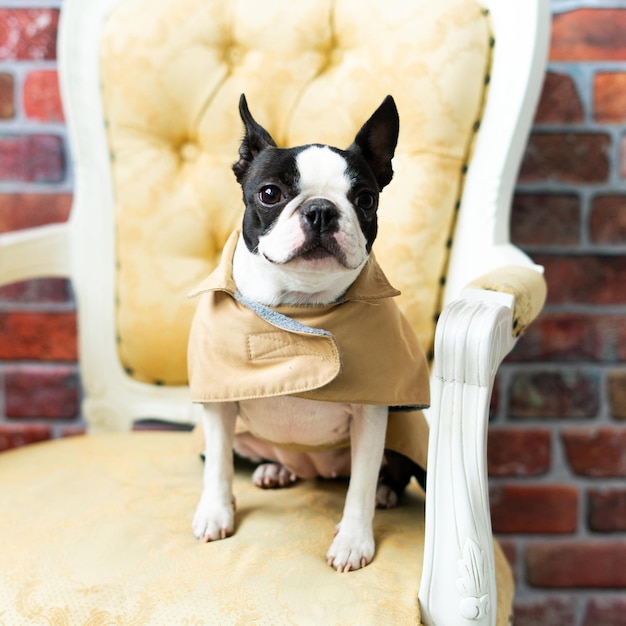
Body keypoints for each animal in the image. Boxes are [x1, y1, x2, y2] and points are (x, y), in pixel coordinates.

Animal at [190, 94, 424, 572]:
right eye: (270, 194)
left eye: (365, 199)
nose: (320, 210)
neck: (299, 306)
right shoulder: (219, 404)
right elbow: (218, 465)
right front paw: (215, 513)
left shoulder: (372, 413)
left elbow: (360, 485)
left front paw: (353, 541)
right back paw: (273, 469)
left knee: (388, 473)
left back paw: (384, 493)